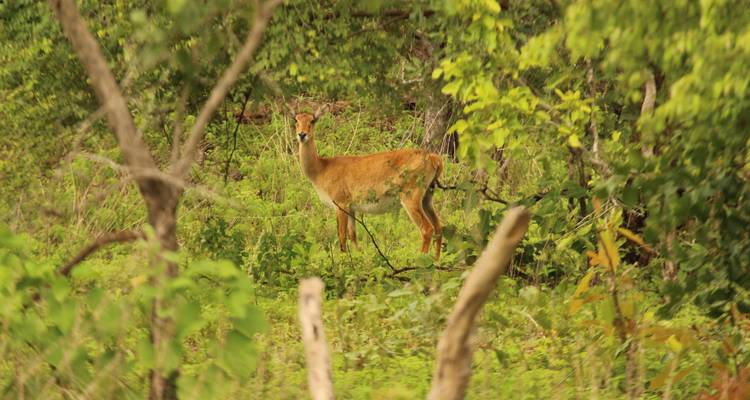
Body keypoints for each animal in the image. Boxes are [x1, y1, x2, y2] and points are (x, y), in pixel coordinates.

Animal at [292, 105, 443, 260]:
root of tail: (434, 158)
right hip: (427, 197)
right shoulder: (351, 208)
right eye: (296, 120)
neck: (321, 169)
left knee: (427, 229)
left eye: (312, 120)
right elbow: (353, 235)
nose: (302, 134)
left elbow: (342, 237)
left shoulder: (341, 203)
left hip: (410, 197)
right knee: (439, 227)